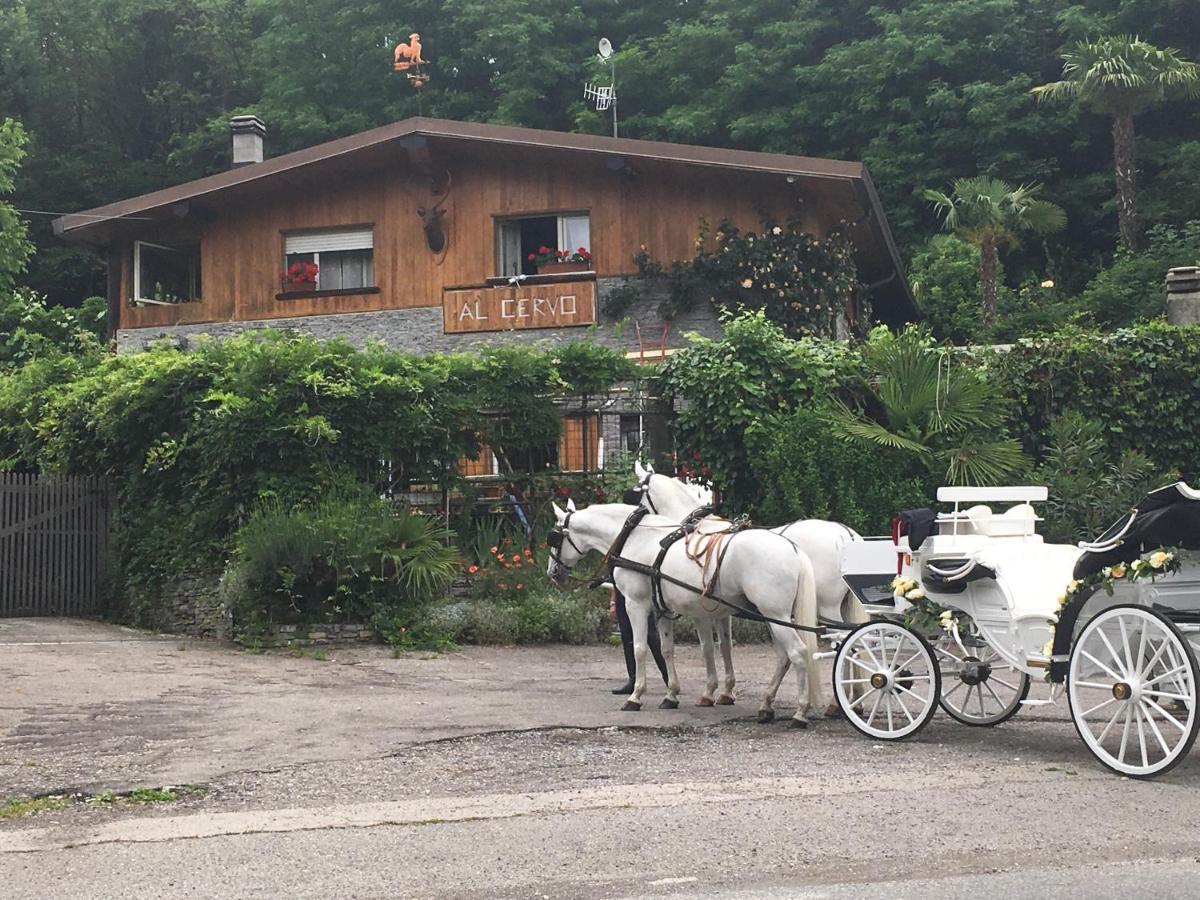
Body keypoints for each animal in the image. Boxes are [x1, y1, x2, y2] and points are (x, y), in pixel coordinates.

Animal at [549, 504, 825, 729]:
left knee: (798, 653)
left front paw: (636, 695)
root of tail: (793, 548)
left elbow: (639, 648)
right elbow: (667, 649)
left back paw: (800, 712)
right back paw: (766, 706)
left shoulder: (636, 604)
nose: (552, 573)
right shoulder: (663, 610)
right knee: (783, 657)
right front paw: (671, 694)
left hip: (774, 614)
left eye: (554, 538)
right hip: (775, 617)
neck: (635, 538)